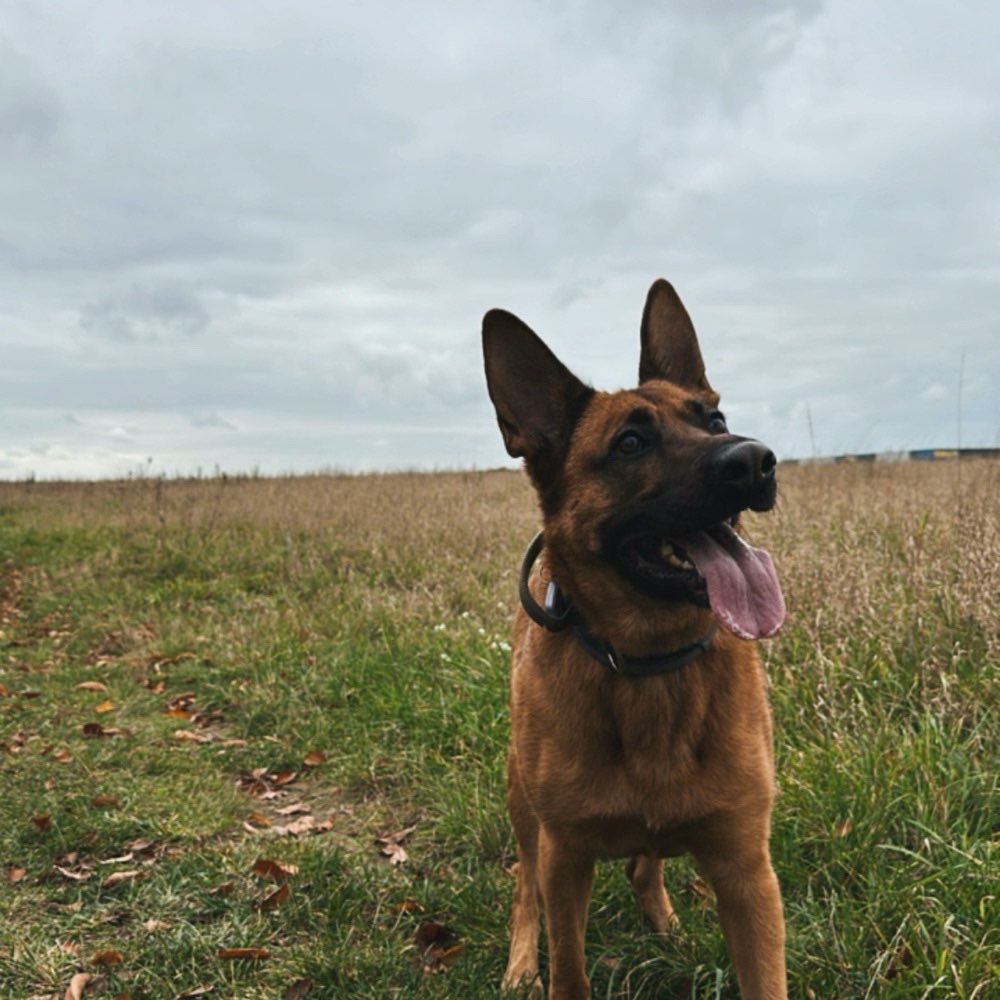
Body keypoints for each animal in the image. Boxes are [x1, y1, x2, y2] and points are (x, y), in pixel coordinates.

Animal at [484, 280, 788, 1000]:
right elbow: (568, 968)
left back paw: (664, 922)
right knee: (524, 888)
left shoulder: (748, 875)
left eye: (715, 419)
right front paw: (541, 968)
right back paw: (519, 965)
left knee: (643, 864)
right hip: (524, 808)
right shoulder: (565, 860)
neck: (652, 668)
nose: (756, 460)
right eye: (629, 444)